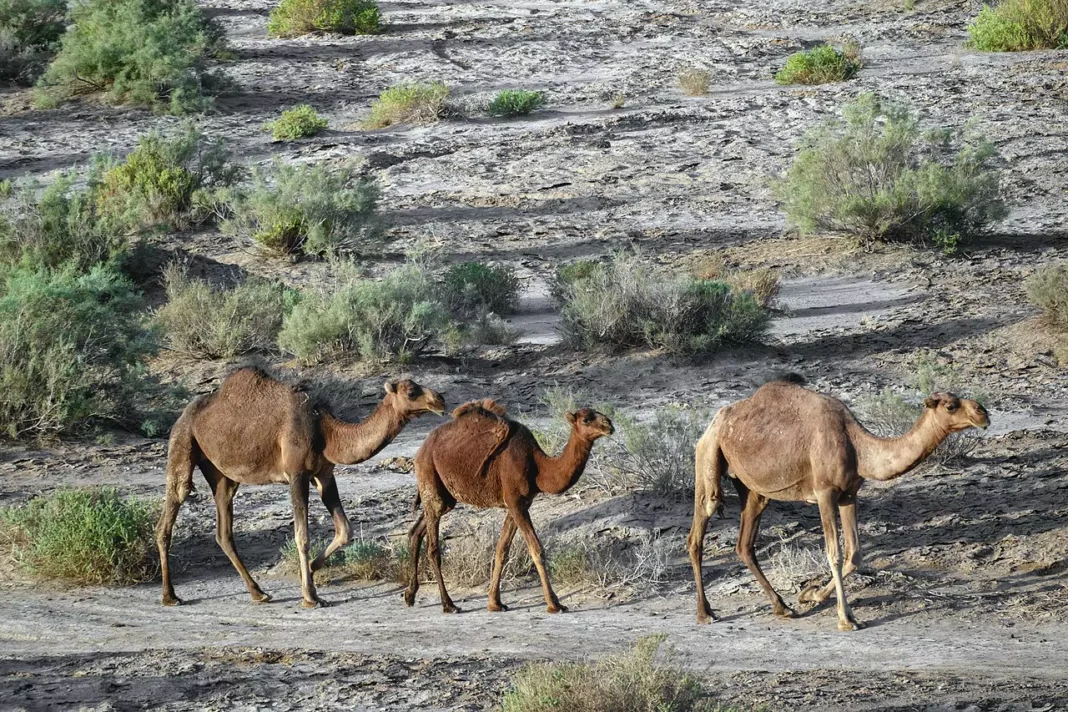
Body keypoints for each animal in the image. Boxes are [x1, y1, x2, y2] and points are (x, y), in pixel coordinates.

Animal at [155, 371, 444, 610]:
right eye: (411, 392)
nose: (440, 399)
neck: (325, 430)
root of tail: (184, 414)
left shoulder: (324, 473)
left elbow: (345, 530)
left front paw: (313, 572)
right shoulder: (296, 474)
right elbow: (302, 536)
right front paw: (310, 596)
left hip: (223, 475)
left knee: (223, 529)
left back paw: (258, 593)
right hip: (183, 441)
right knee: (172, 505)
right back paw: (170, 596)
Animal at [401, 401, 619, 614]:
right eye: (586, 419)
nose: (609, 424)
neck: (538, 467)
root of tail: (421, 449)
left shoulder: (520, 503)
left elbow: (502, 550)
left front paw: (495, 603)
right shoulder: (515, 502)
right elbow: (536, 550)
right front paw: (554, 604)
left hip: (446, 496)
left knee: (416, 530)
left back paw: (410, 595)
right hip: (429, 475)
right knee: (433, 548)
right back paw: (449, 605)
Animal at [687, 375, 986, 631]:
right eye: (950, 405)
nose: (982, 411)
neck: (857, 446)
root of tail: (713, 423)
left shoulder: (849, 494)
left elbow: (854, 554)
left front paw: (811, 595)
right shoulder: (824, 493)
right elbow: (834, 553)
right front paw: (846, 619)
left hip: (752, 488)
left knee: (744, 544)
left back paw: (782, 607)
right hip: (708, 454)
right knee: (699, 528)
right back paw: (705, 613)